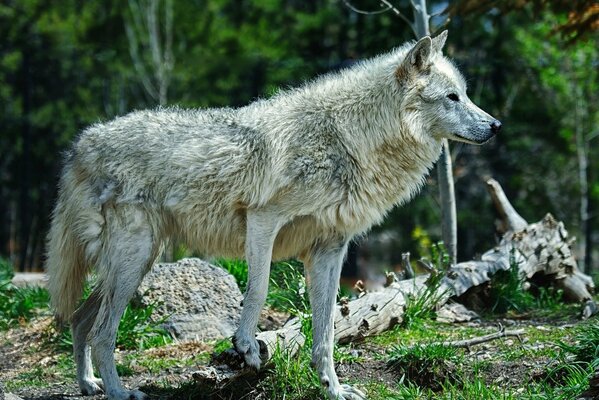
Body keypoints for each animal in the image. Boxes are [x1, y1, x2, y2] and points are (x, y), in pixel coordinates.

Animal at [44, 31, 500, 400]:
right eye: (452, 97)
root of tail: (82, 144)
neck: (349, 137)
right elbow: (259, 289)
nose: (496, 125)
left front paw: (332, 388)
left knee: (81, 321)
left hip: (136, 263)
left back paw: (89, 385)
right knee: (102, 332)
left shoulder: (330, 251)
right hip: (134, 260)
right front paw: (245, 346)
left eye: (466, 93)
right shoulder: (263, 220)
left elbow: (327, 328)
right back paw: (118, 391)